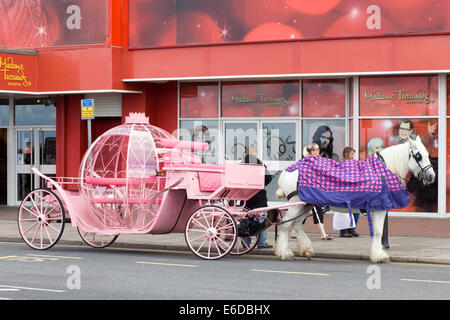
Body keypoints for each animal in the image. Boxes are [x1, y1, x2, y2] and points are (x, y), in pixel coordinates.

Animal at [274, 136, 436, 264]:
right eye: (418, 156)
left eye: (427, 154)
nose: (431, 177)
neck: (383, 171)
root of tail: (290, 170)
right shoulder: (379, 208)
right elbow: (378, 232)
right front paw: (380, 256)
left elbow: (378, 232)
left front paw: (378, 254)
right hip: (295, 204)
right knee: (286, 225)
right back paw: (285, 253)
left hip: (306, 205)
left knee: (296, 225)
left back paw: (306, 249)